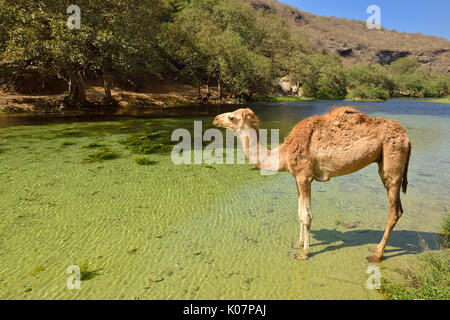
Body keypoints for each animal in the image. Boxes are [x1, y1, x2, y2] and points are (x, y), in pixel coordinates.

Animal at [214, 106, 412, 262]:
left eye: (232, 117)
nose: (216, 119)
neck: (283, 152)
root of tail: (406, 138)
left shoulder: (304, 176)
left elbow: (307, 215)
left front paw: (304, 253)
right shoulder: (297, 178)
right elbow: (299, 212)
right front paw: (299, 243)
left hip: (393, 163)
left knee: (394, 211)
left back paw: (377, 254)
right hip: (384, 162)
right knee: (399, 209)